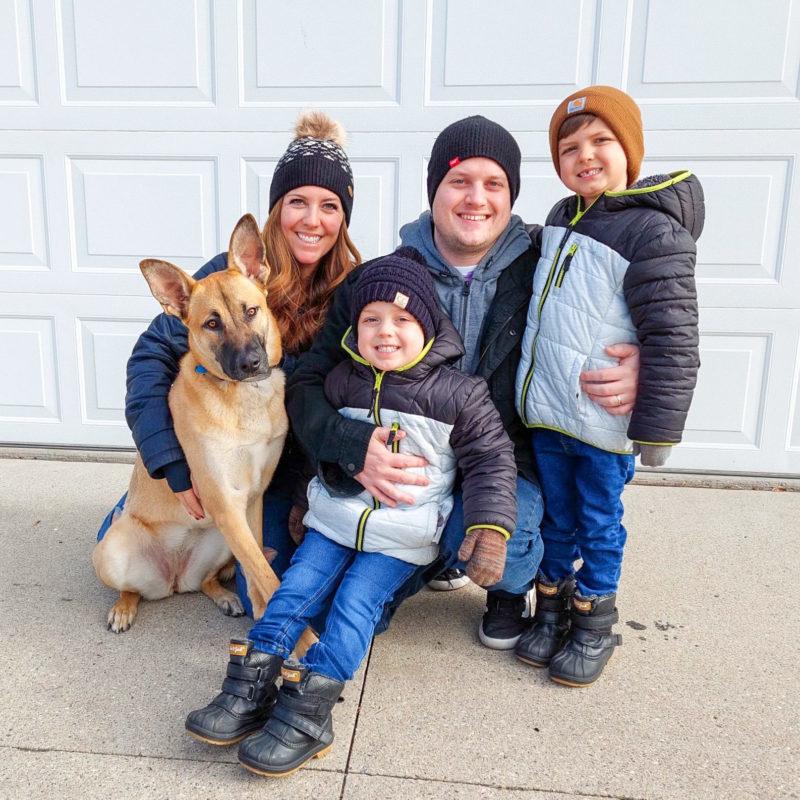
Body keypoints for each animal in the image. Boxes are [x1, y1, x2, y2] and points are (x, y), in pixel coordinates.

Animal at [93, 216, 316, 652]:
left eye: (251, 311)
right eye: (212, 324)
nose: (251, 364)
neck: (243, 398)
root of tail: (173, 579)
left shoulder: (251, 501)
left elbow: (258, 569)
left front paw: (263, 616)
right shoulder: (224, 501)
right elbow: (266, 575)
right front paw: (305, 641)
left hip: (219, 542)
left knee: (208, 579)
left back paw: (223, 595)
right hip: (110, 549)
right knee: (132, 589)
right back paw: (124, 607)